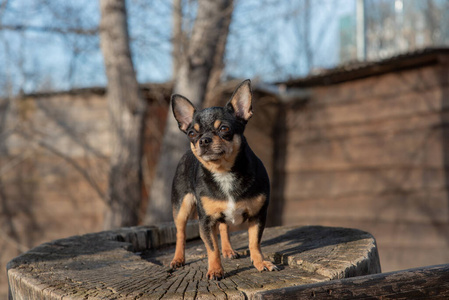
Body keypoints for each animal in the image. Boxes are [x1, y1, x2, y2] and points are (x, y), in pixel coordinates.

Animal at [168, 79, 274, 278]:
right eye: (192, 134)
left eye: (224, 128)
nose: (203, 140)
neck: (223, 172)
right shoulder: (206, 221)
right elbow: (211, 248)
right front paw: (216, 270)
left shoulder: (258, 216)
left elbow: (254, 242)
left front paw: (260, 263)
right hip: (181, 208)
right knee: (180, 234)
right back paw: (178, 259)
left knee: (224, 227)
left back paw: (228, 250)